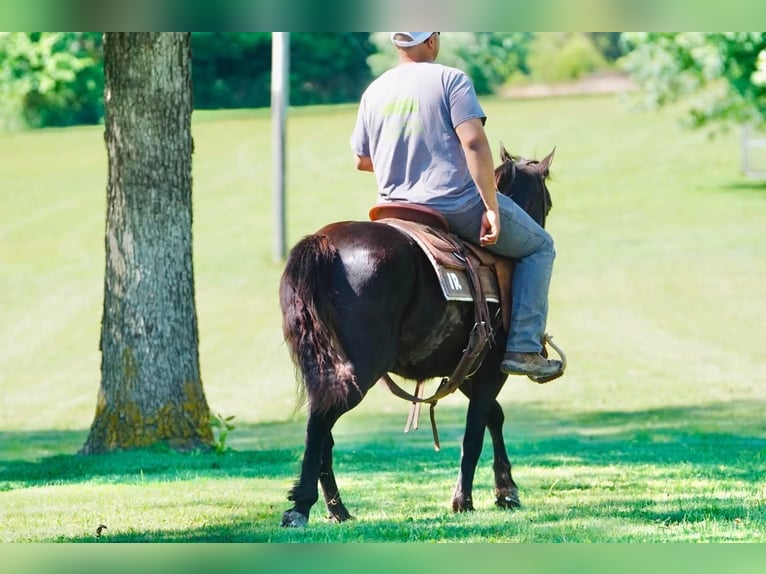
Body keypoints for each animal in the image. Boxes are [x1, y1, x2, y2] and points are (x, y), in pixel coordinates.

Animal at [278, 144, 557, 527]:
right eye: (549, 202)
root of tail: (323, 242)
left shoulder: (463, 370)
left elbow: (493, 417)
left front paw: (505, 490)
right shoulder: (490, 371)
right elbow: (475, 430)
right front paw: (465, 499)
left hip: (324, 363)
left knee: (322, 429)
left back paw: (337, 509)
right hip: (360, 368)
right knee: (322, 417)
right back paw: (302, 506)